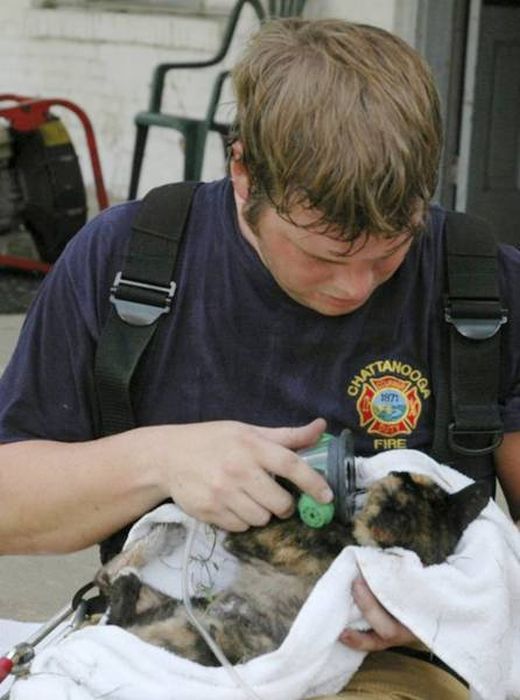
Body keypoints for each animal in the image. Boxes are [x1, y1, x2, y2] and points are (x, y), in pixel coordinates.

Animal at [95, 474, 490, 664]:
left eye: (405, 481)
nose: (395, 469)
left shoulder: (265, 540)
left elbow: (275, 511)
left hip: (182, 631)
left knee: (114, 610)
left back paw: (135, 572)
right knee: (107, 584)